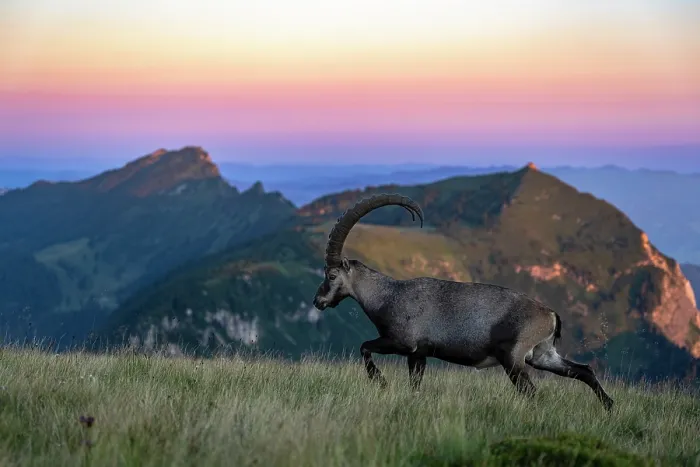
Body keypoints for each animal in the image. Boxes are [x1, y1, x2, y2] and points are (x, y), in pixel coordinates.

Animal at [312, 193, 614, 411]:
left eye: (331, 274)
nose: (318, 301)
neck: (387, 296)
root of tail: (551, 315)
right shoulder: (418, 354)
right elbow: (415, 384)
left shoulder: (401, 343)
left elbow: (364, 347)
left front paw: (381, 382)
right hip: (542, 355)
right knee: (584, 371)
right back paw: (609, 407)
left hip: (513, 357)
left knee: (532, 391)